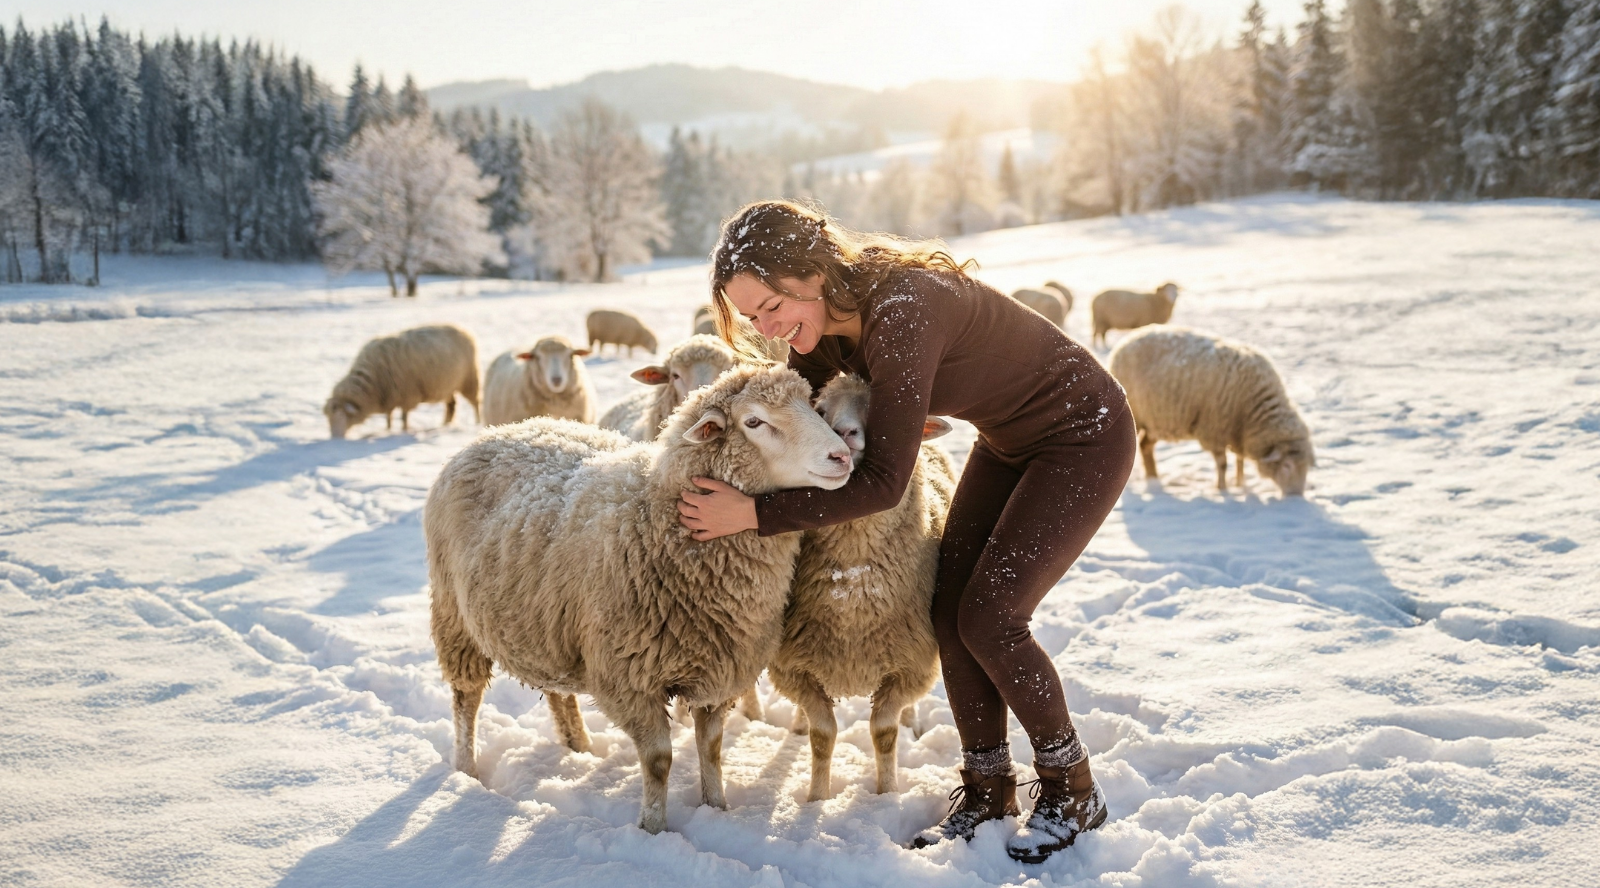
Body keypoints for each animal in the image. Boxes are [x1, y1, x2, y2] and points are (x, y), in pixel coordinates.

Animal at [323, 324, 480, 439]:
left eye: (340, 415)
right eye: (328, 418)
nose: (335, 439)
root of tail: (464, 330)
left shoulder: (407, 395)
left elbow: (404, 417)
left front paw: (404, 430)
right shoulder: (389, 396)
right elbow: (389, 416)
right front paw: (388, 429)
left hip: (469, 379)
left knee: (475, 403)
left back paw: (477, 422)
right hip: (448, 385)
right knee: (451, 405)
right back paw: (446, 424)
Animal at [426, 364, 854, 834]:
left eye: (812, 406)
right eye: (754, 421)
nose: (842, 457)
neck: (658, 520)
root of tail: (500, 431)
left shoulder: (718, 667)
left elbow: (711, 748)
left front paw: (717, 810)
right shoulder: (629, 678)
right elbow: (658, 761)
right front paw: (653, 829)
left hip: (546, 624)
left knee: (558, 692)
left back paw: (579, 747)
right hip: (454, 615)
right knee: (466, 699)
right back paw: (466, 770)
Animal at [769, 374, 958, 801]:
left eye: (881, 407)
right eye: (820, 411)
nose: (843, 432)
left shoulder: (911, 665)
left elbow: (884, 733)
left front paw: (887, 793)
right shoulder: (792, 666)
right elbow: (823, 735)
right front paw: (816, 799)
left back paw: (913, 723)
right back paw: (796, 724)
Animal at [1107, 325, 1314, 496]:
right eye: (1287, 465)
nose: (1296, 497)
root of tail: (1125, 341)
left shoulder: (1238, 432)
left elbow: (1239, 459)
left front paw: (1240, 483)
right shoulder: (1215, 429)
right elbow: (1222, 463)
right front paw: (1222, 489)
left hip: (1157, 420)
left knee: (1145, 446)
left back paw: (1154, 479)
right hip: (1138, 416)